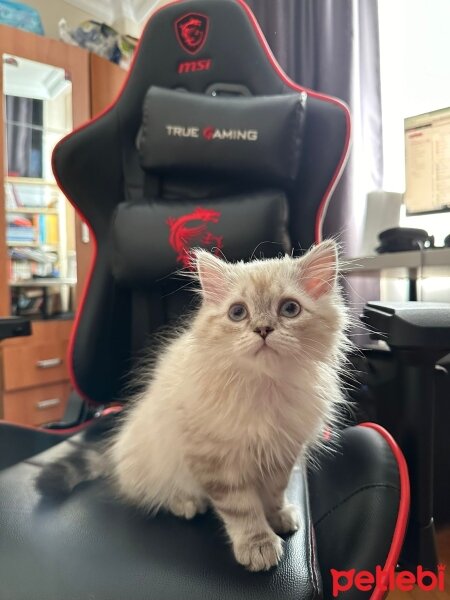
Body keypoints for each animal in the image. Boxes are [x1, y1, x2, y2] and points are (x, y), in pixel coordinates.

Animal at [37, 239, 350, 572]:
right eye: (238, 312)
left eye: (290, 309)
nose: (263, 329)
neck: (264, 387)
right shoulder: (215, 458)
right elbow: (242, 509)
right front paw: (258, 544)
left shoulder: (282, 450)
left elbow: (274, 492)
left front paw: (278, 515)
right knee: (153, 490)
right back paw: (186, 502)